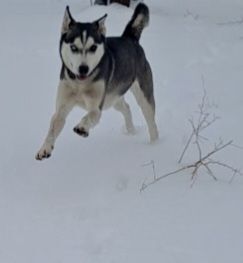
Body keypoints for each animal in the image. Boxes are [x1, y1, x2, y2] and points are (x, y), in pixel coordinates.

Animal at [35, 3, 158, 161]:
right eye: (73, 47)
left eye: (93, 47)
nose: (83, 68)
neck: (80, 85)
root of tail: (129, 38)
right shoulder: (62, 106)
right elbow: (53, 125)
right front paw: (45, 148)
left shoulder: (97, 106)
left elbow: (91, 115)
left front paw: (82, 127)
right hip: (113, 98)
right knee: (126, 107)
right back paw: (131, 131)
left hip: (142, 95)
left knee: (151, 120)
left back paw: (155, 145)